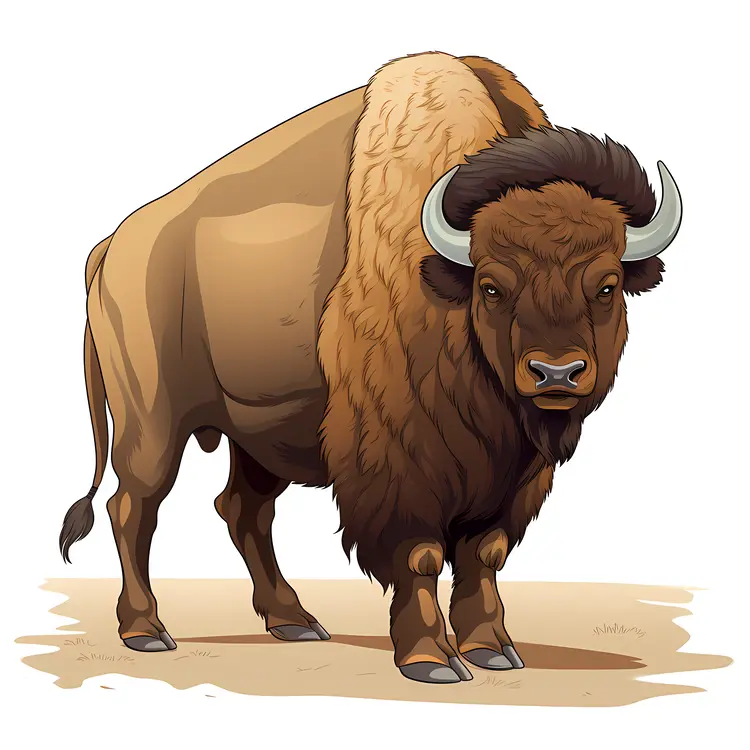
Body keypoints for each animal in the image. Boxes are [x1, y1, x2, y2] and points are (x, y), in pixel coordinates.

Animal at [60, 51, 681, 684]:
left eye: (607, 285)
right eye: (491, 285)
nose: (557, 374)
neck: (445, 283)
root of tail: (112, 247)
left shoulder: (512, 475)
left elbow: (484, 553)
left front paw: (494, 650)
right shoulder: (398, 460)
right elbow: (421, 554)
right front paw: (433, 660)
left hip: (256, 436)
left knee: (243, 510)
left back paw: (295, 622)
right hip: (153, 425)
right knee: (133, 507)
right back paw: (147, 631)